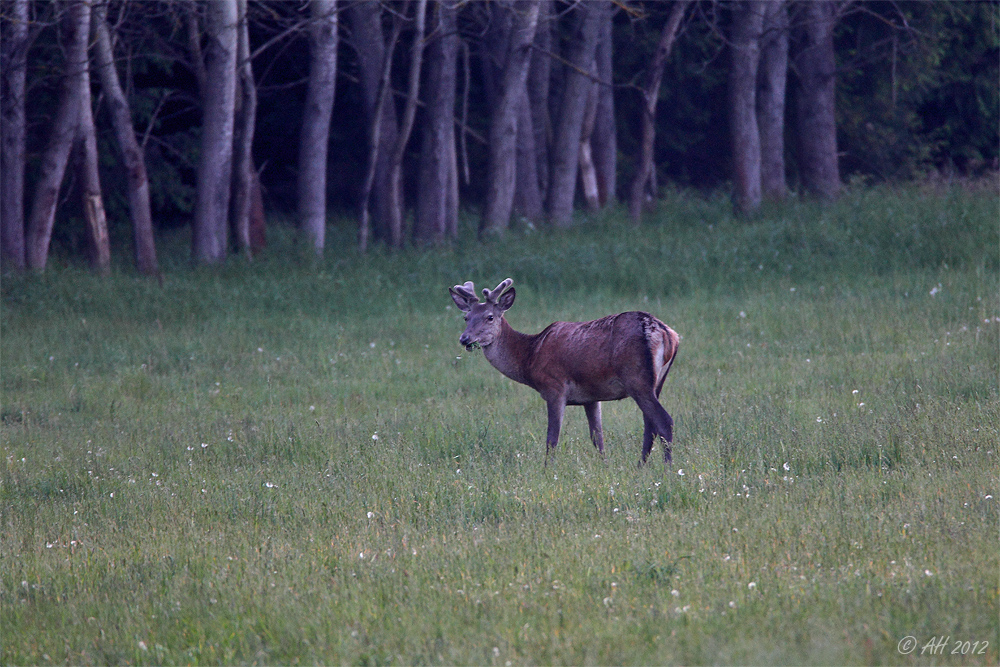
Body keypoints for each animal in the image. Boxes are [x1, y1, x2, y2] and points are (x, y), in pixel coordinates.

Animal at [452, 280, 680, 468]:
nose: (465, 339)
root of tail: (667, 333)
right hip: (657, 380)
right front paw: (605, 466)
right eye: (466, 317)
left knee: (664, 421)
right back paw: (641, 465)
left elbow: (552, 438)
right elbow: (597, 437)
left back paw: (667, 468)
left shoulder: (554, 387)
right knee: (650, 424)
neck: (530, 356)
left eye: (490, 317)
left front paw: (547, 470)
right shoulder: (591, 397)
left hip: (636, 378)